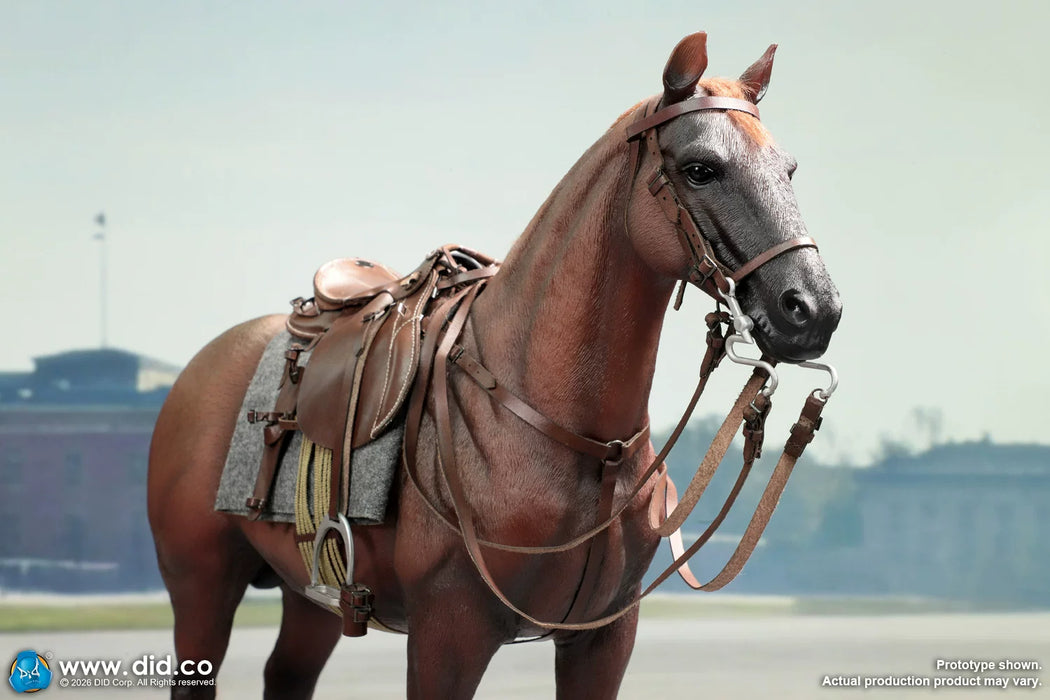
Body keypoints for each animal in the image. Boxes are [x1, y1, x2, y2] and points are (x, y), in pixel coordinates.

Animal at [147, 31, 841, 699]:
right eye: (701, 169)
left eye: (788, 168)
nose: (814, 309)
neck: (580, 446)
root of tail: (197, 370)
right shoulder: (449, 632)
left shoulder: (603, 639)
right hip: (201, 589)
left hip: (311, 597)